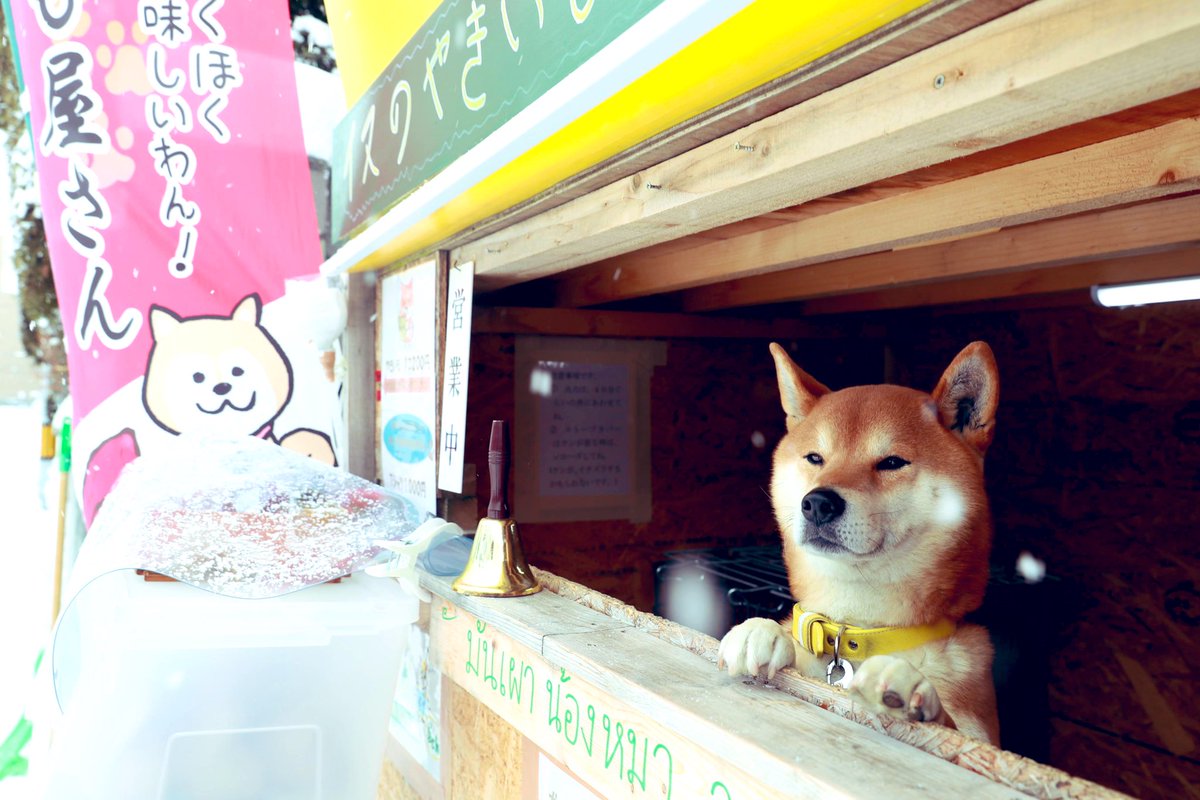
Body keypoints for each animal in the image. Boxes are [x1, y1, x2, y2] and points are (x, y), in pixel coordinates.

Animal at [720, 343, 1003, 743]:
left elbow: (947, 727)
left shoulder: (980, 732)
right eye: (815, 458)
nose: (818, 502)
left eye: (892, 462)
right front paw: (763, 630)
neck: (860, 630)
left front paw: (908, 684)